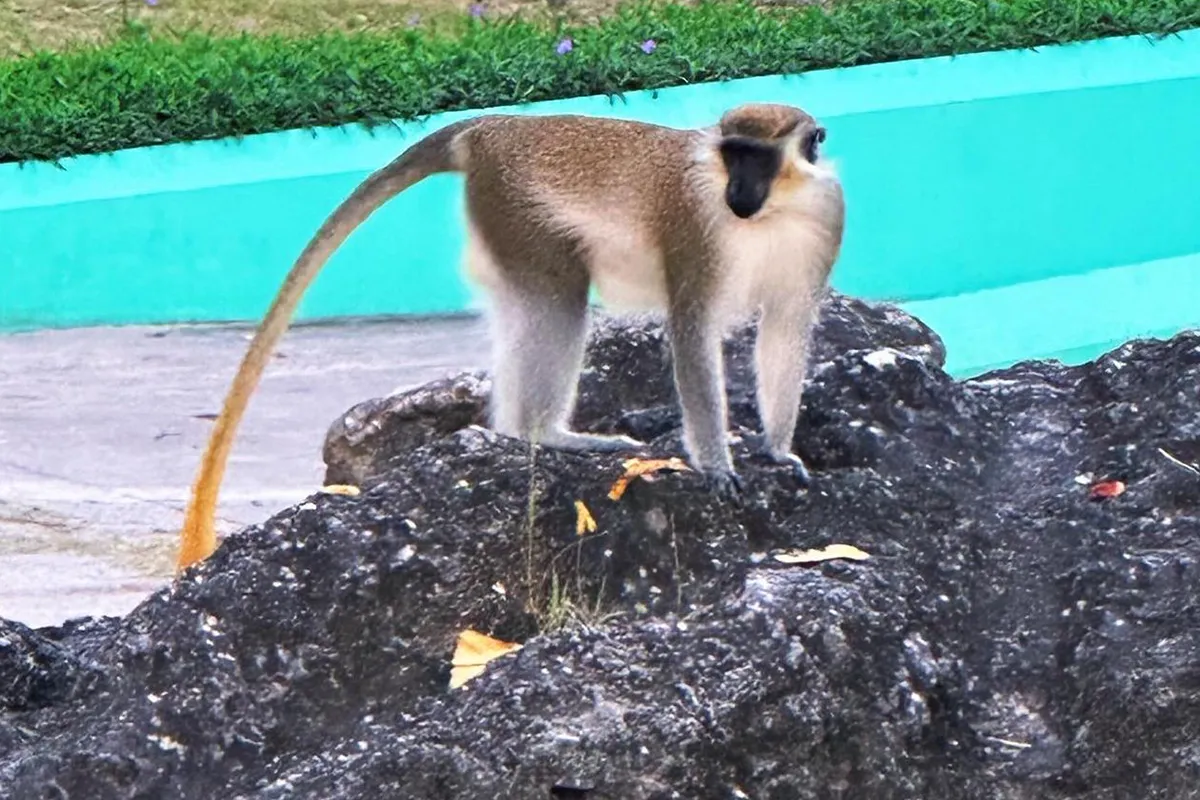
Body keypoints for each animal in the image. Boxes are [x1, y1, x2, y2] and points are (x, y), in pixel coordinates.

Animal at [175, 102, 845, 570]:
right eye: (732, 154)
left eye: (757, 159)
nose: (737, 193)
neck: (774, 213)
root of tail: (491, 129)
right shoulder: (696, 229)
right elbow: (691, 329)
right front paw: (715, 465)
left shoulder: (825, 219)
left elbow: (786, 330)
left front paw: (778, 449)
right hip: (514, 205)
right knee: (559, 297)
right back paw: (547, 435)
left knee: (534, 306)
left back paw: (516, 433)